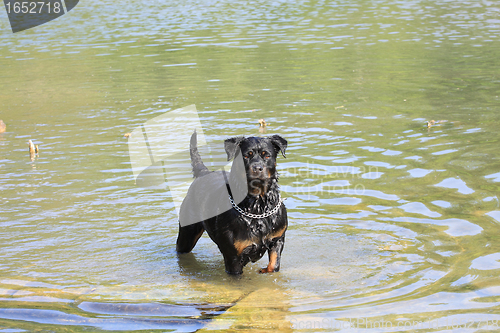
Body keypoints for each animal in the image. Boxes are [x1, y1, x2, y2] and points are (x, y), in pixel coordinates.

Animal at [176, 131, 288, 274]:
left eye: (267, 155)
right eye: (246, 155)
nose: (257, 167)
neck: (257, 206)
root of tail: (203, 173)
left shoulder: (277, 239)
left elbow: (274, 264)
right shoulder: (233, 257)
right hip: (187, 233)